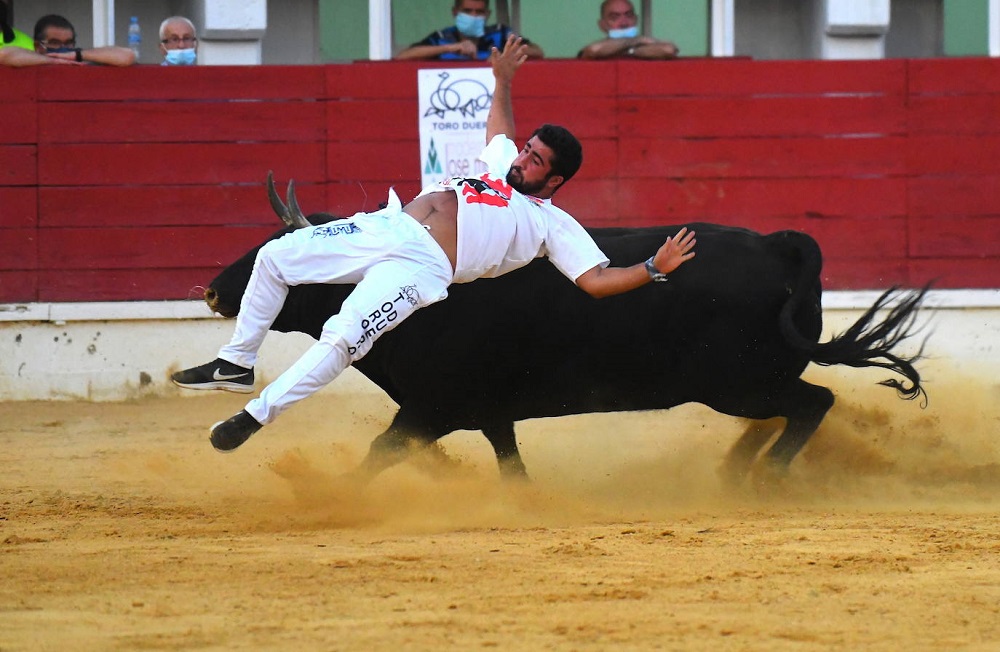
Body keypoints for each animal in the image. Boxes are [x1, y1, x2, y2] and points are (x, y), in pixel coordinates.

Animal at [205, 216, 928, 482]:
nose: (213, 288)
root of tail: (777, 244)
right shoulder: (481, 412)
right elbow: (506, 462)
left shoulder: (435, 406)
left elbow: (381, 452)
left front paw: (334, 497)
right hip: (746, 384)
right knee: (792, 410)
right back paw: (734, 472)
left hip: (737, 382)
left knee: (813, 402)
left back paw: (761, 481)